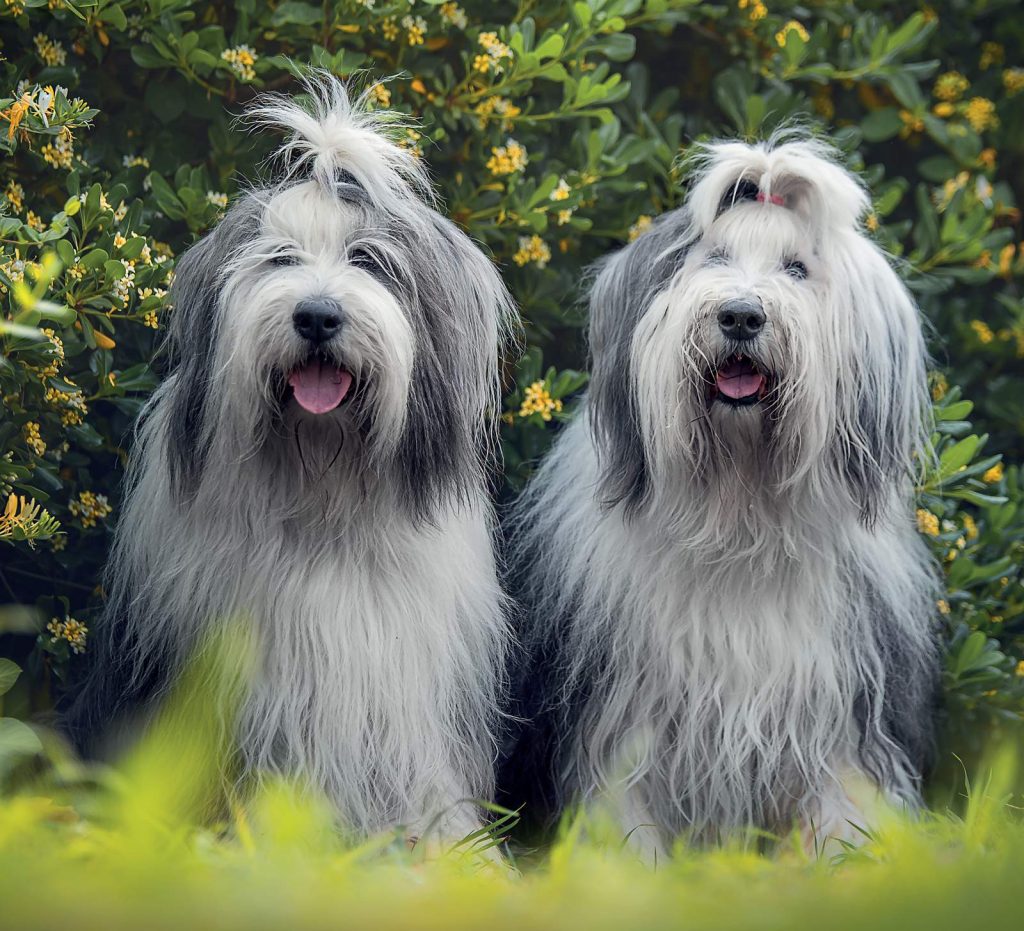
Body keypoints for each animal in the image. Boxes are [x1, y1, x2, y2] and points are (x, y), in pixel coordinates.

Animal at [501, 136, 937, 856]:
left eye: (797, 269)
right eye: (715, 261)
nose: (739, 315)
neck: (737, 511)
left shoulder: (841, 707)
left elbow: (842, 804)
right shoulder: (623, 711)